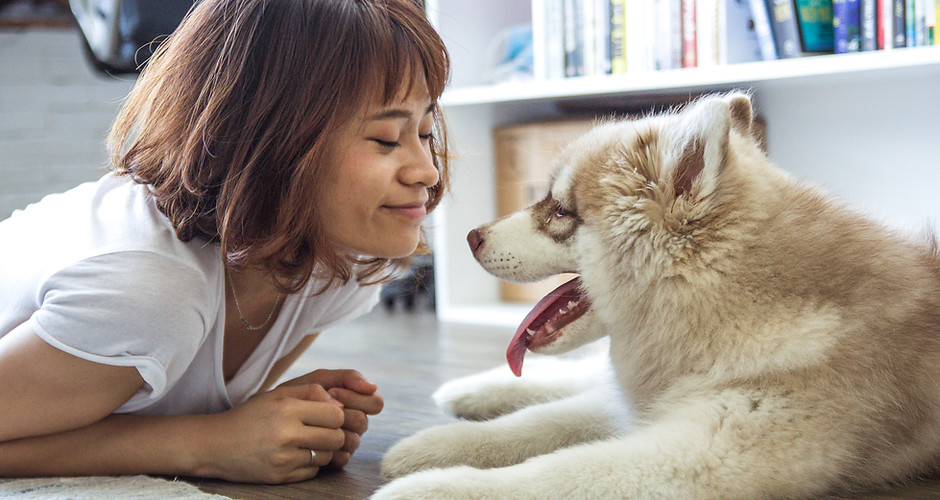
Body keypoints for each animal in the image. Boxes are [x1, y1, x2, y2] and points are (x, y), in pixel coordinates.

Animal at [370, 92, 940, 498]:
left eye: (560, 211)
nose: (470, 237)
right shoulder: (654, 404)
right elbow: (537, 423)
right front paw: (435, 445)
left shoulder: (702, 451)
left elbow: (558, 472)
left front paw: (434, 487)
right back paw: (469, 391)